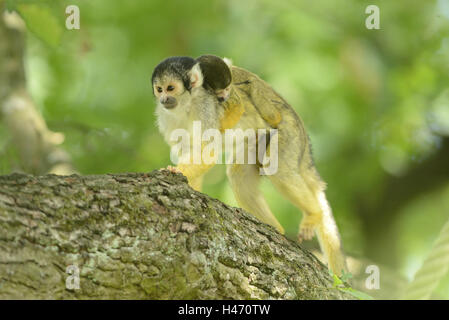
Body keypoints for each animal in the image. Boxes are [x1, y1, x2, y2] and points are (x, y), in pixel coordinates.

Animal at [150, 55, 346, 276]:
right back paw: (276, 229)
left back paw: (314, 213)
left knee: (278, 169)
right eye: (160, 89)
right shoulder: (166, 117)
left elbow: (208, 150)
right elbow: (189, 149)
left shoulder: (205, 107)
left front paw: (174, 171)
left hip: (289, 132)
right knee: (240, 176)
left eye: (170, 88)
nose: (164, 99)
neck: (186, 104)